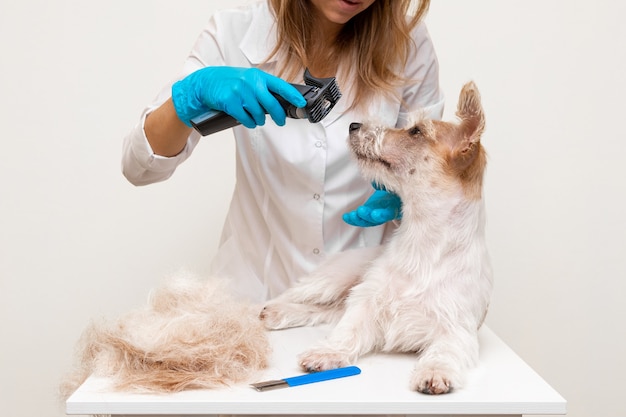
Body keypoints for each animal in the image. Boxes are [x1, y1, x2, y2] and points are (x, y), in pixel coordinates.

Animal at [256, 80, 490, 394]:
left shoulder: (457, 328)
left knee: (325, 311)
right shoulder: (367, 301)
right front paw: (328, 352)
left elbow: (444, 350)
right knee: (297, 295)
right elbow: (348, 330)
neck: (423, 241)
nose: (354, 125)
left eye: (416, 132)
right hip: (331, 278)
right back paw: (271, 309)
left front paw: (435, 372)